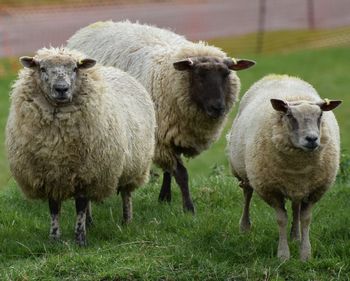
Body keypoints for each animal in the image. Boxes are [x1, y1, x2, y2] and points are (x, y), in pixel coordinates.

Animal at [5, 47, 156, 244]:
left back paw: (126, 221)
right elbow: (54, 209)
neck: (57, 141)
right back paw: (91, 223)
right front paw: (54, 238)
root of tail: (115, 70)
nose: (61, 89)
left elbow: (80, 206)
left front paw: (80, 239)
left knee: (126, 194)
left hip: (134, 166)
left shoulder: (87, 173)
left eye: (75, 68)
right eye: (42, 68)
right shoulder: (51, 175)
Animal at [67, 20, 256, 212]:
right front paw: (189, 208)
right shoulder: (160, 139)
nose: (217, 107)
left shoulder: (173, 135)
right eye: (199, 75)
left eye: (226, 74)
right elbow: (181, 174)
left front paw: (165, 197)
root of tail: (93, 26)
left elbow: (169, 171)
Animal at [227, 74, 342, 260]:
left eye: (320, 115)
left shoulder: (314, 190)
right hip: (244, 172)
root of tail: (279, 75)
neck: (298, 168)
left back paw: (295, 236)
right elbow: (281, 219)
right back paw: (244, 227)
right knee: (247, 194)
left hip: (297, 187)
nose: (312, 139)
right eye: (289, 115)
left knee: (295, 206)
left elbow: (306, 219)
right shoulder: (271, 190)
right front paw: (283, 255)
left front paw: (305, 254)